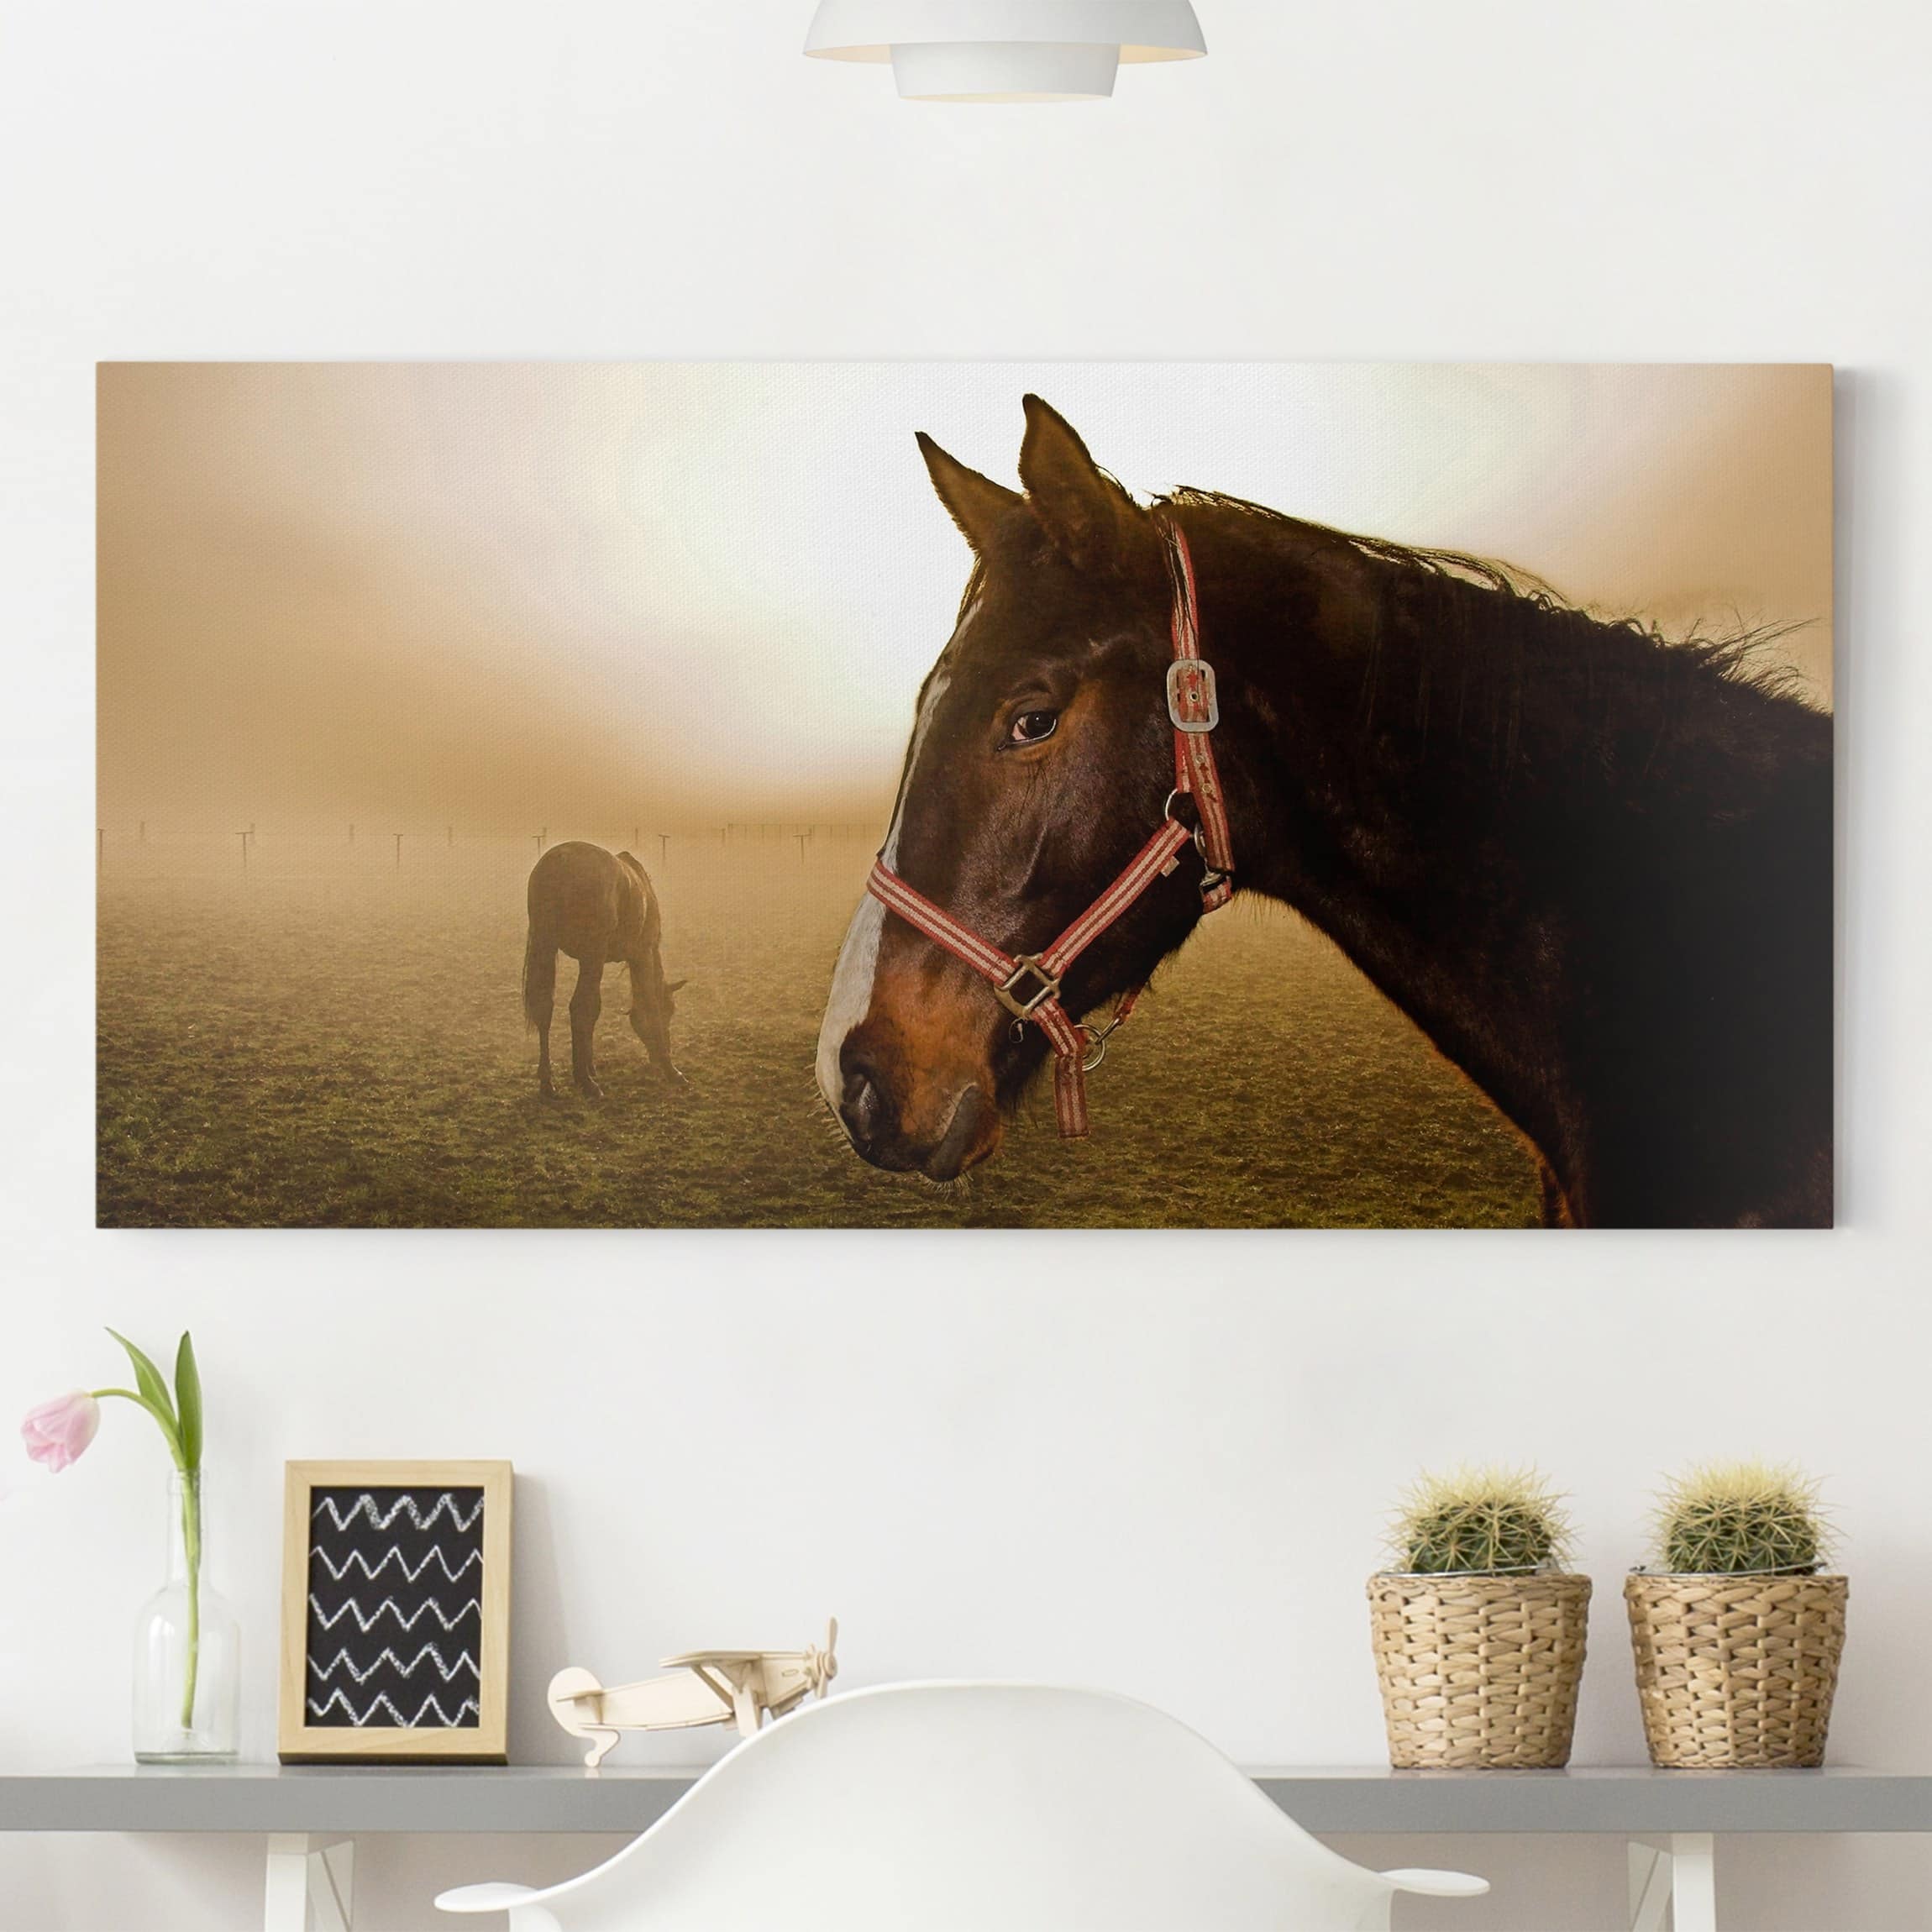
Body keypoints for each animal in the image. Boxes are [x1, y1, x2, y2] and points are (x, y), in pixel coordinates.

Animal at [523, 842, 685, 1100]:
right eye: (669, 1010)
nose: (656, 1058)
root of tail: (561, 861)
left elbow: (594, 1011)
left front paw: (590, 1065)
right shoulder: (642, 954)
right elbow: (648, 1003)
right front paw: (671, 1070)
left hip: (547, 945)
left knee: (544, 1008)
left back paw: (548, 1082)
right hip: (593, 955)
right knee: (579, 1007)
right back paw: (585, 1082)